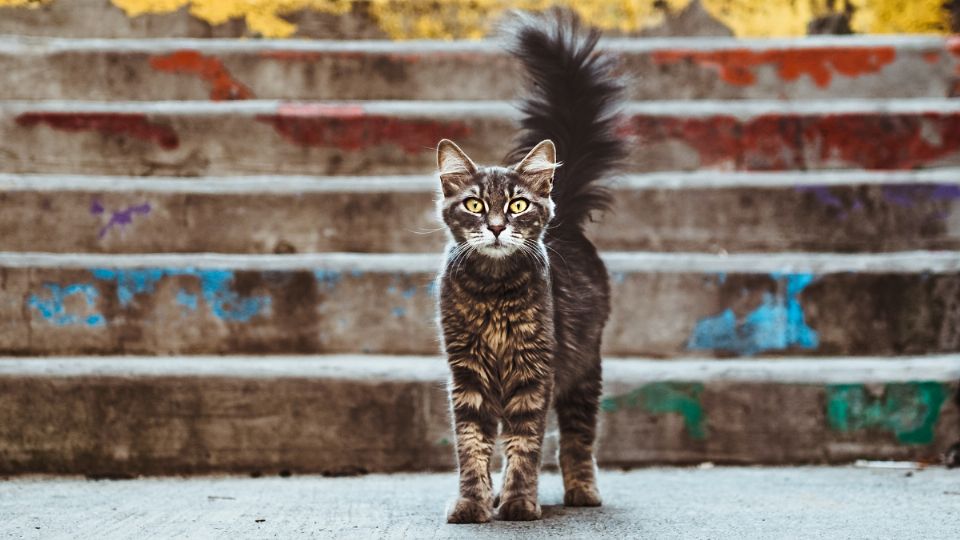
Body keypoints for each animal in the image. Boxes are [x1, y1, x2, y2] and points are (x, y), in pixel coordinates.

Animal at [436, 9, 632, 524]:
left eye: (518, 205)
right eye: (476, 205)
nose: (498, 227)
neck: (492, 290)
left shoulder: (534, 371)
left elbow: (525, 445)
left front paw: (520, 504)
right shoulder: (467, 375)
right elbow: (473, 447)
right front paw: (473, 503)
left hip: (584, 369)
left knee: (577, 439)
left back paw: (582, 490)